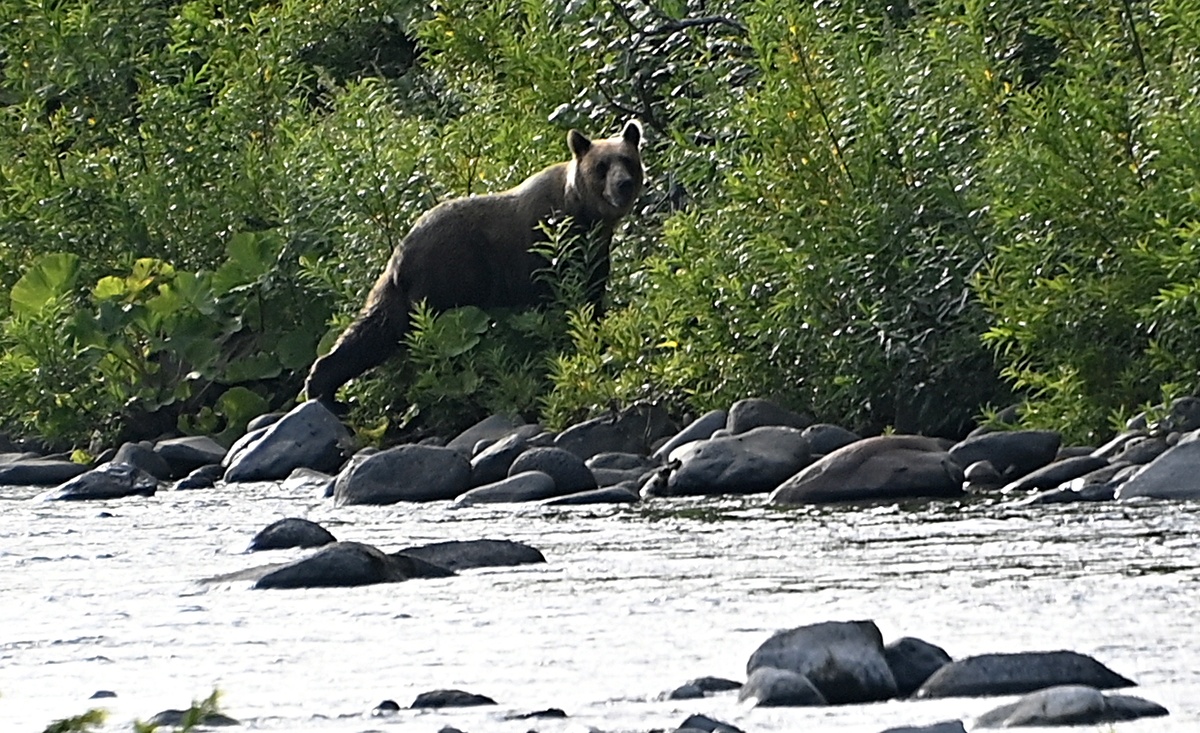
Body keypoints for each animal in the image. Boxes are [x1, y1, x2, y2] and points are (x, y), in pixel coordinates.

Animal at [307, 122, 648, 405]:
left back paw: (323, 385)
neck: (583, 214)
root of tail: (400, 253)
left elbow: (592, 294)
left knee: (375, 330)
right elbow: (561, 299)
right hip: (447, 279)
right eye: (601, 166)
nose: (623, 184)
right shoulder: (546, 247)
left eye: (628, 160)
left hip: (404, 292)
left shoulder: (594, 251)